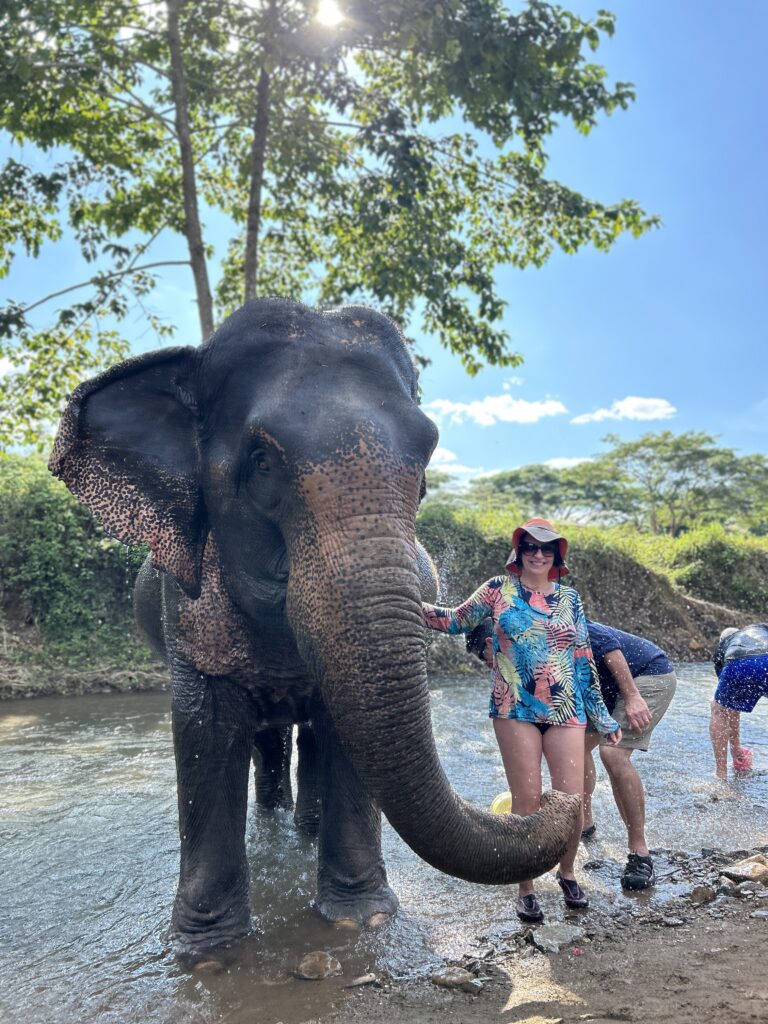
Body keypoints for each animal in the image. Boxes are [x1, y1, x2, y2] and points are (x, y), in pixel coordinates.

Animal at [49, 297, 578, 953]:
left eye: (427, 460)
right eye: (262, 462)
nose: (559, 798)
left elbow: (344, 730)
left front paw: (360, 920)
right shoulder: (187, 608)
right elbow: (205, 728)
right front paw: (207, 950)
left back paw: (304, 828)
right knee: (265, 739)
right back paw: (274, 824)